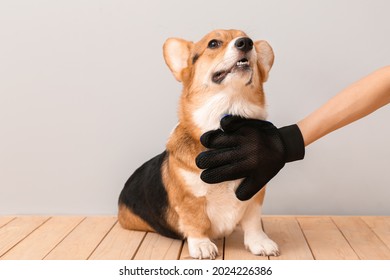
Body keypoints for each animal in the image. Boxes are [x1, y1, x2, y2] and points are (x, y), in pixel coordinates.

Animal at [117, 29, 278, 260]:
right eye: (213, 43)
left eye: (249, 40)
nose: (246, 43)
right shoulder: (189, 199)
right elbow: (196, 222)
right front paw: (202, 245)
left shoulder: (255, 192)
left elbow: (253, 222)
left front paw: (260, 242)